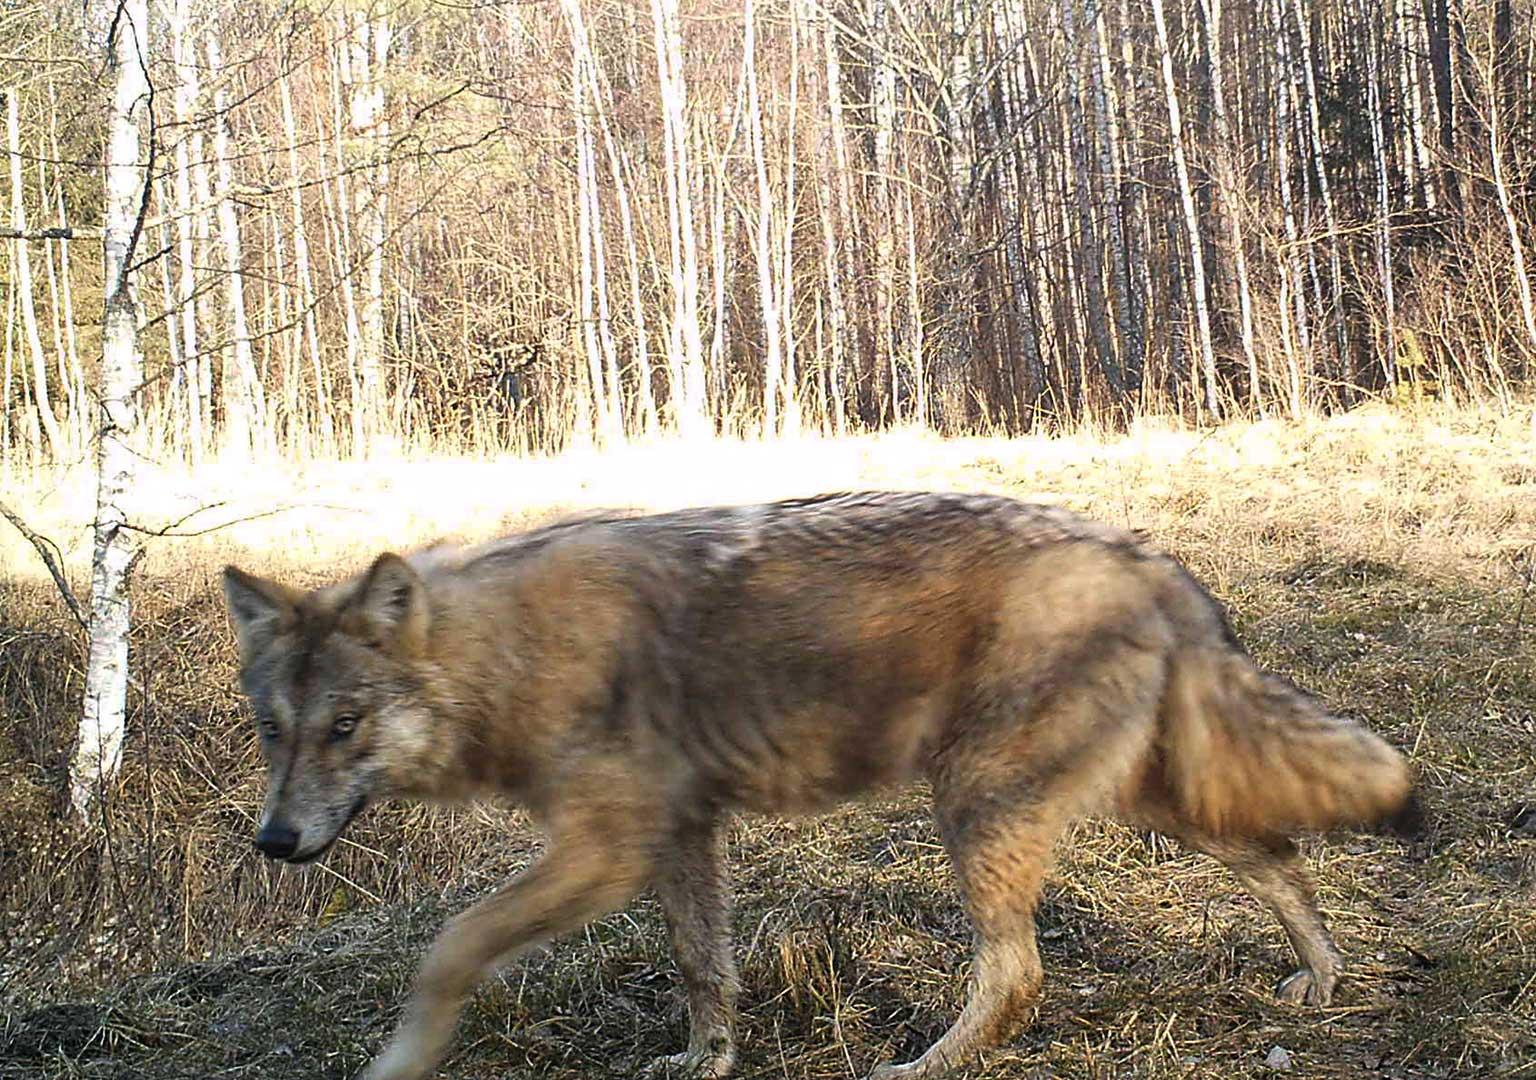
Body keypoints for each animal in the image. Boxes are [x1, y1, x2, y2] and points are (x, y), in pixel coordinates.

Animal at [222, 491, 1419, 1080]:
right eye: (273, 730)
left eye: (344, 727)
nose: (273, 843)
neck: (504, 657)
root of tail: (1145, 555)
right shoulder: (679, 839)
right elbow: (703, 971)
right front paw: (702, 1064)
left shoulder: (605, 851)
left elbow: (447, 949)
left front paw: (400, 1061)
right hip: (1134, 801)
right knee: (1277, 853)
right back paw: (1322, 979)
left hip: (975, 807)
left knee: (1019, 977)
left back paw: (925, 1068)